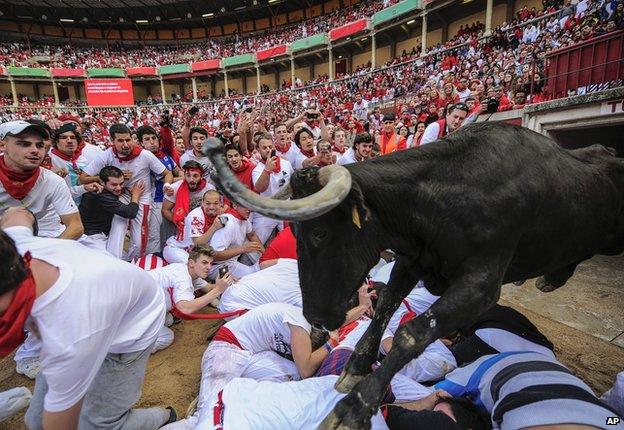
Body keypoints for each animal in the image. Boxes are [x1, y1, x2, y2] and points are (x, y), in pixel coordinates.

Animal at [204, 121, 624, 430]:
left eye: (320, 233)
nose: (316, 319)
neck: (443, 196)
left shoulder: (481, 283)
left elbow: (412, 332)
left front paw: (353, 408)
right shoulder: (414, 261)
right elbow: (386, 305)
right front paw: (356, 368)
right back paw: (551, 278)